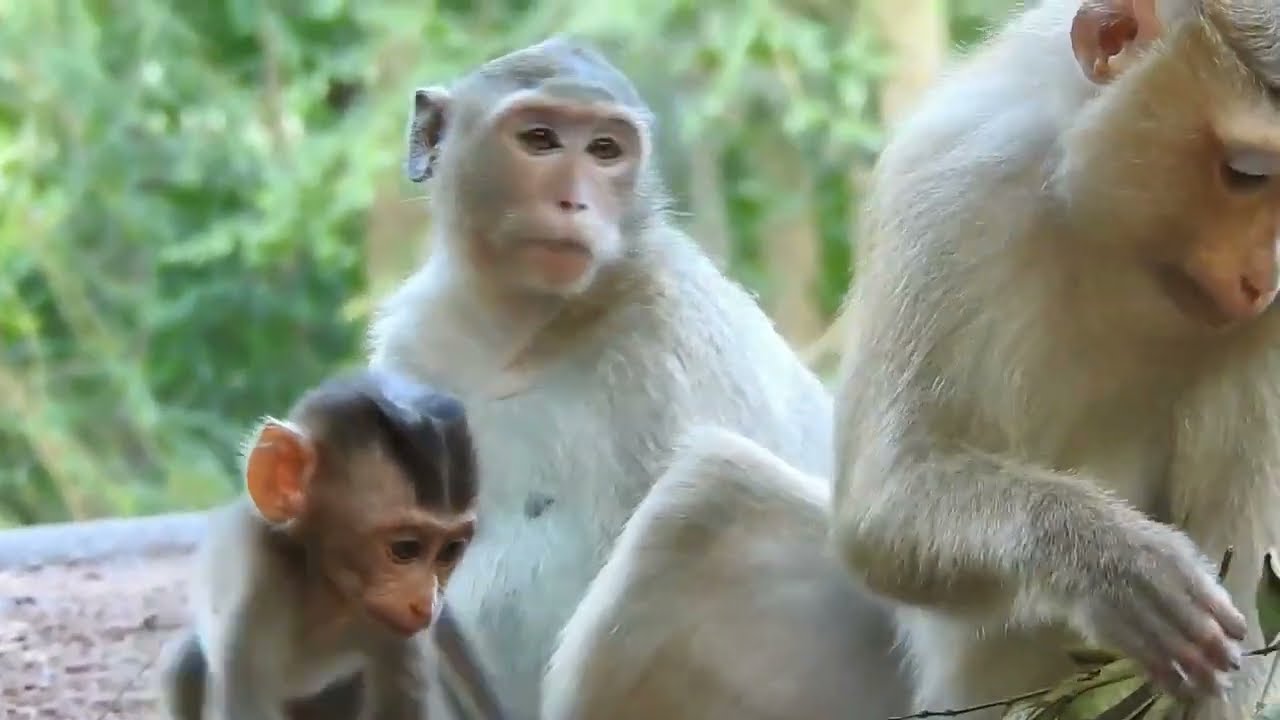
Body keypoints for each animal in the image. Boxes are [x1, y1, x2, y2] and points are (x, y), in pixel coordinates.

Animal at [157, 368, 494, 720]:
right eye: (406, 549)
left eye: (450, 551)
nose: (426, 602)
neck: (326, 586)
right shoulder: (260, 576)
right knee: (184, 666)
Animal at [366, 36, 913, 717]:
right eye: (540, 139)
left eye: (605, 150)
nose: (573, 201)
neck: (522, 333)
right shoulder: (414, 345)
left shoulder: (676, 334)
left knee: (712, 498)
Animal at [828, 0, 1280, 718]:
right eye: (1247, 174)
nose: (1263, 280)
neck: (1123, 244)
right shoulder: (951, 180)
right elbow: (882, 505)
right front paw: (1114, 565)